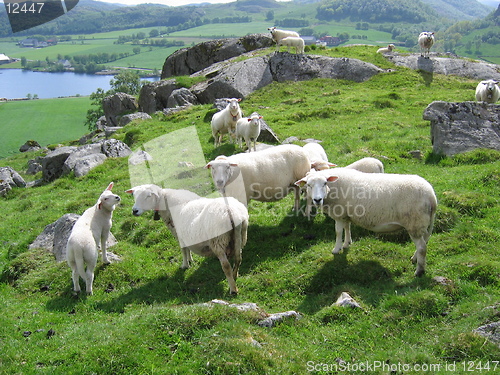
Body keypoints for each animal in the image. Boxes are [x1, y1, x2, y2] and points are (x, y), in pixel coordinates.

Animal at [294, 169, 436, 278]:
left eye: (324, 183)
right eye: (308, 185)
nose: (317, 200)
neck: (332, 189)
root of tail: (432, 196)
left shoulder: (339, 213)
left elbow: (338, 231)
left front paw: (336, 249)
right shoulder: (346, 214)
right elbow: (347, 227)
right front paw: (347, 243)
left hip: (415, 223)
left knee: (422, 247)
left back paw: (419, 271)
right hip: (422, 224)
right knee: (424, 242)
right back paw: (415, 259)